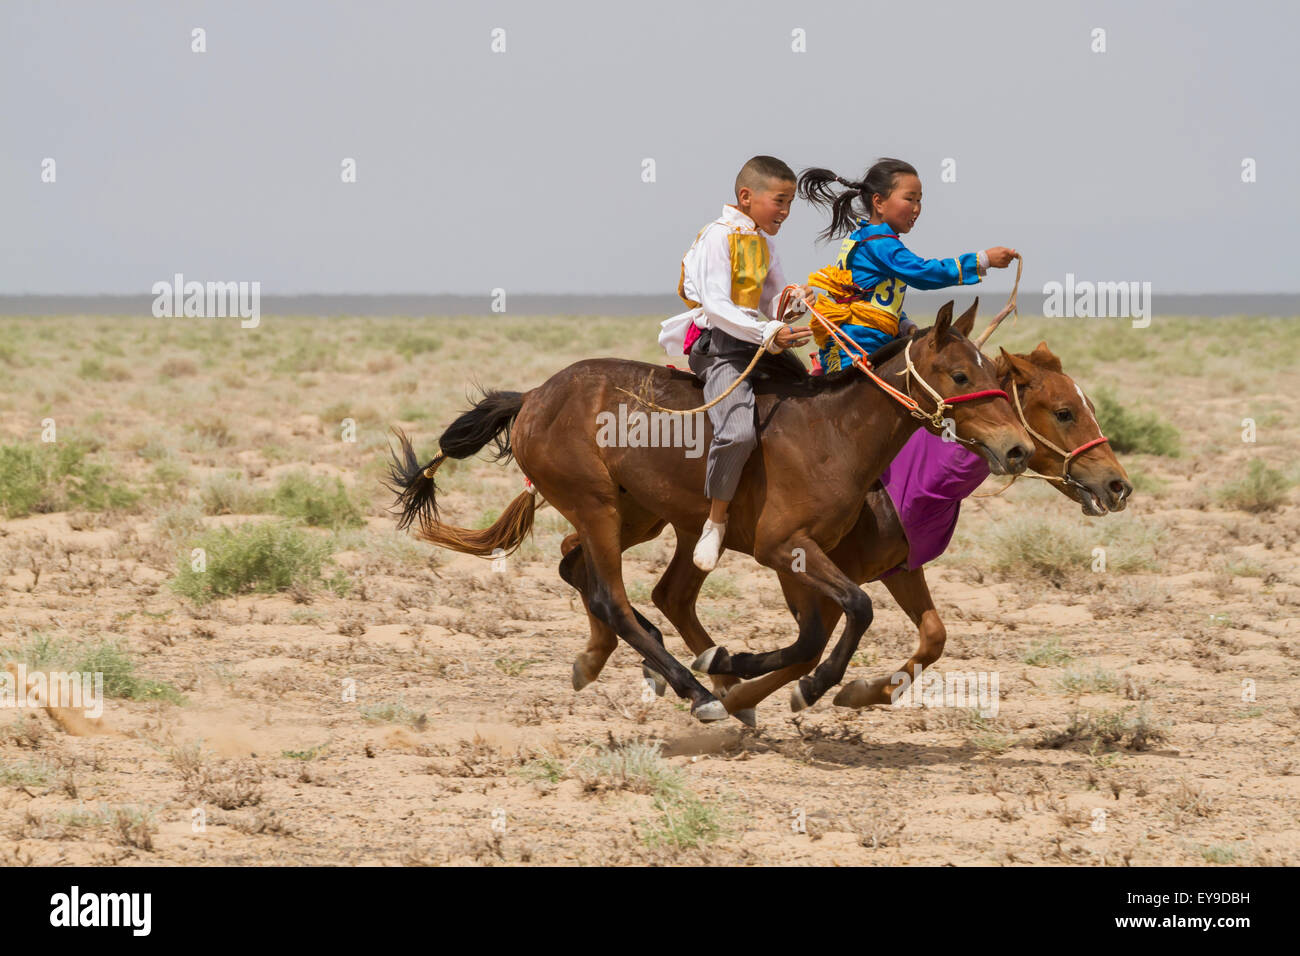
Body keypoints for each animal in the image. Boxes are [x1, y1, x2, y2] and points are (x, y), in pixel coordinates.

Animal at [384, 299, 1024, 723]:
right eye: (960, 374)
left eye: (998, 375)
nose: (1016, 449)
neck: (832, 432)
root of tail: (533, 397)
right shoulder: (784, 548)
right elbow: (847, 618)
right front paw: (795, 684)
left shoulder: (811, 559)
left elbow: (821, 632)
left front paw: (737, 663)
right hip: (598, 508)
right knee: (614, 598)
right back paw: (695, 690)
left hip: (640, 516)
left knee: (595, 574)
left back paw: (621, 661)